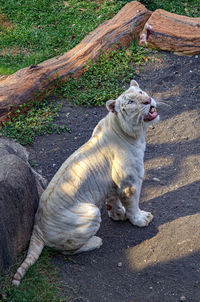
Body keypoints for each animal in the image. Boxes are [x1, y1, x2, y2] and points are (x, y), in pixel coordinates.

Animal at [12, 79, 159, 286]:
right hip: (90, 213)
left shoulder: (113, 183)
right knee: (66, 250)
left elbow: (114, 199)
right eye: (130, 102)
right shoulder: (130, 182)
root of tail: (37, 230)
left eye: (141, 92)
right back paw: (96, 241)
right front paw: (140, 219)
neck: (133, 133)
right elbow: (133, 204)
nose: (148, 100)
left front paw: (117, 214)